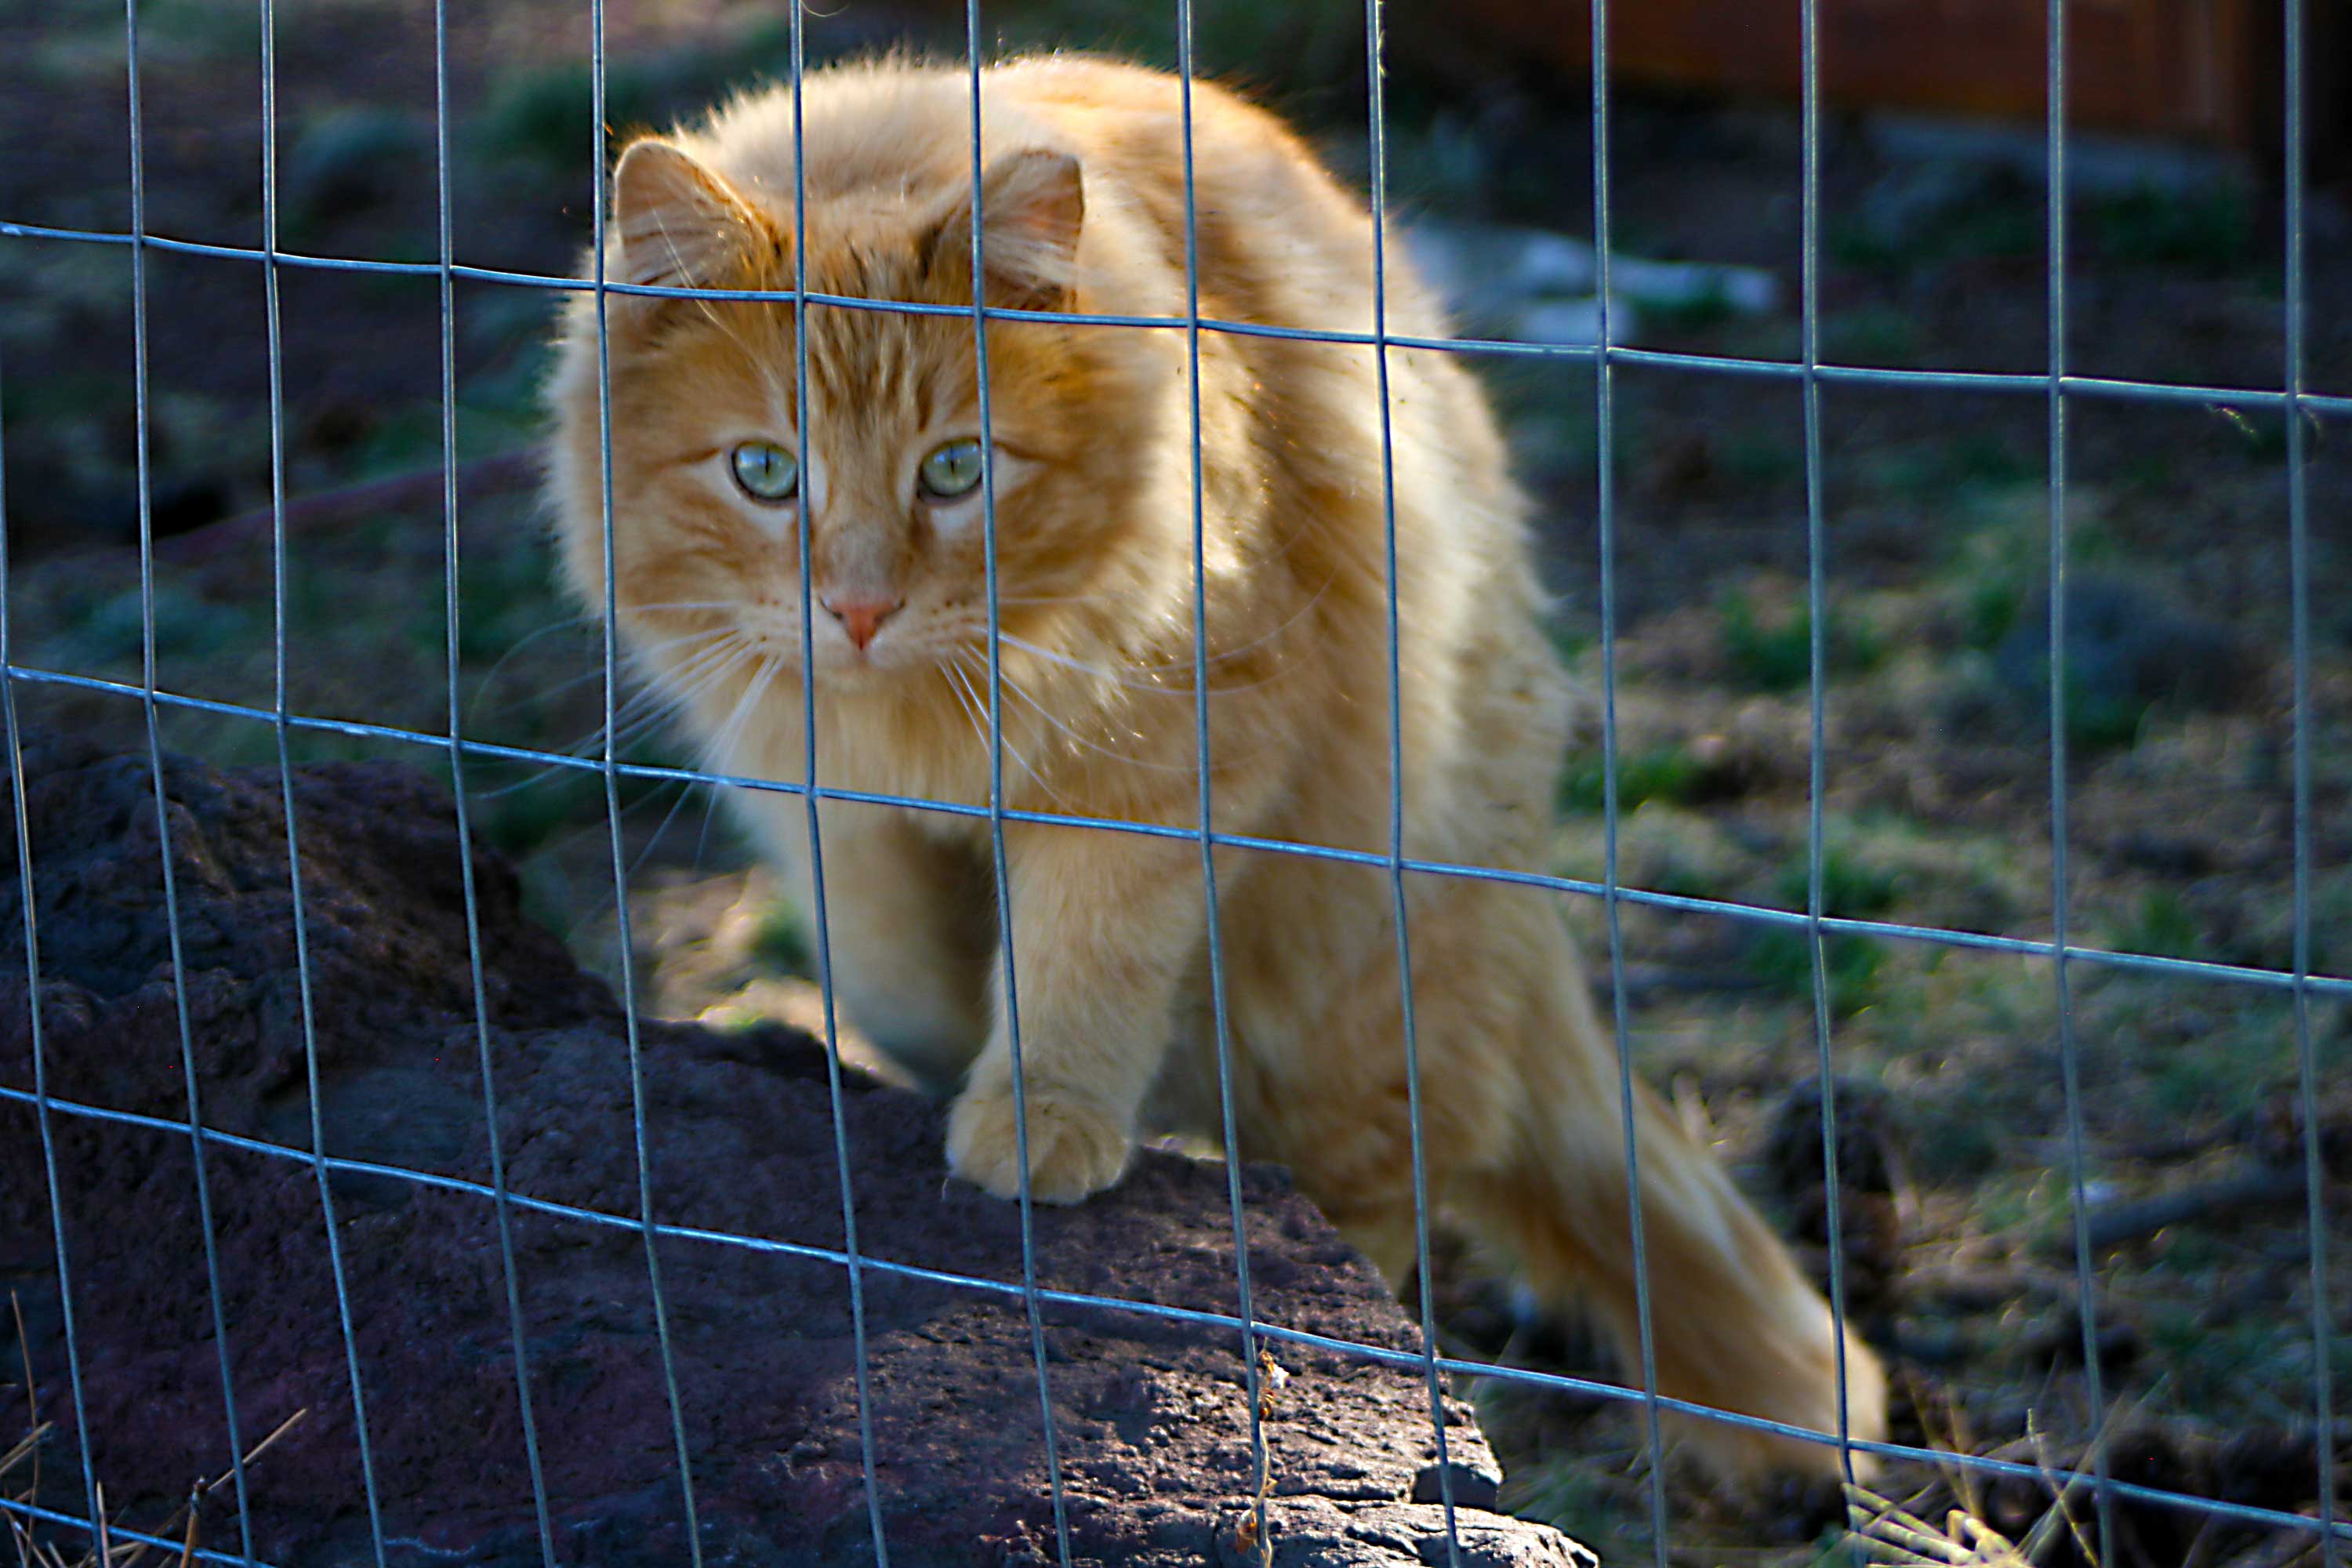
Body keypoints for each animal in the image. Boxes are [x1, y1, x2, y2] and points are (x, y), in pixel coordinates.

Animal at [541, 55, 1882, 1476]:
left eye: (955, 471)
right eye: (763, 472)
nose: (857, 610)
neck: (919, 726)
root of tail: (1530, 930)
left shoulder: (1168, 755)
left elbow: (1081, 958)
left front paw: (1039, 1116)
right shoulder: (820, 807)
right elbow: (899, 967)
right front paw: (947, 1054)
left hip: (1356, 1001)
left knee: (1383, 1200)